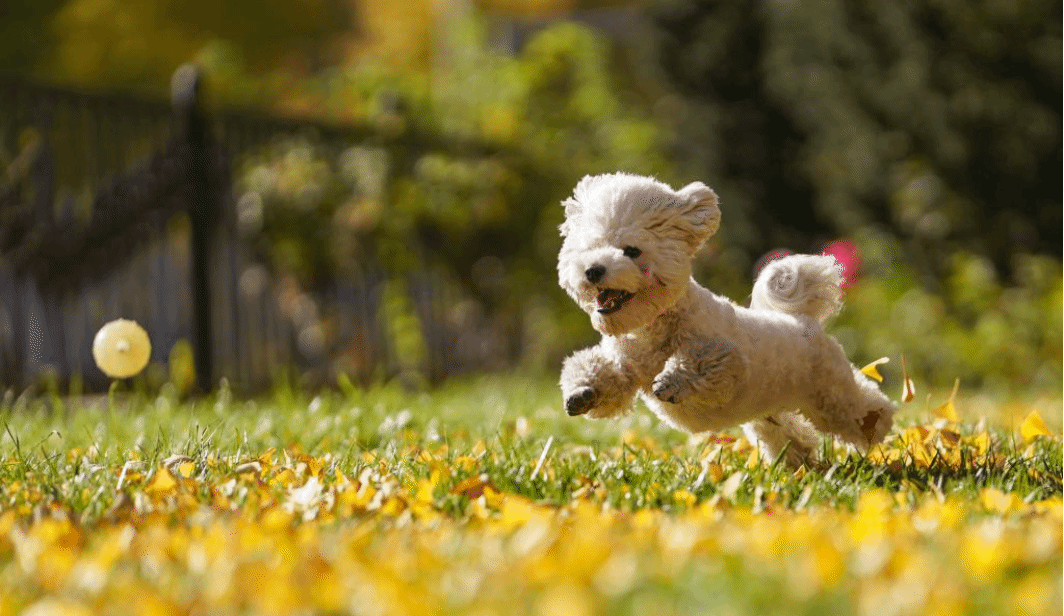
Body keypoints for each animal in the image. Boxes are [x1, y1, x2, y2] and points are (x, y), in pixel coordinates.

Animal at [561, 171, 893, 465]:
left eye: (631, 251)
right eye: (589, 248)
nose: (593, 270)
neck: (653, 328)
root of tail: (803, 320)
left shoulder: (727, 367)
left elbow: (701, 361)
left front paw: (671, 380)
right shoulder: (626, 369)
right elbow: (606, 379)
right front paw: (582, 392)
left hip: (829, 391)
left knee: (861, 406)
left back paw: (875, 424)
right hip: (770, 413)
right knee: (788, 434)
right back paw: (798, 462)